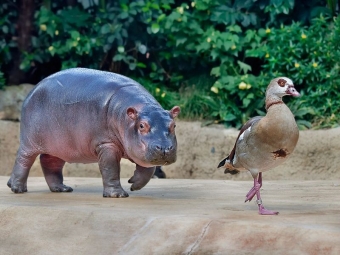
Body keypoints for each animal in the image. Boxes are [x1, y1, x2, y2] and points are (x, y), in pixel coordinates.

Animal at [7, 67, 181, 197]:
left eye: (173, 125)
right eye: (142, 126)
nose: (164, 148)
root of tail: (32, 90)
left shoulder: (142, 152)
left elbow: (148, 169)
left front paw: (134, 185)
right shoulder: (106, 144)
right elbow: (110, 168)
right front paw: (117, 194)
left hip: (60, 145)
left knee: (50, 162)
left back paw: (62, 189)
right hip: (29, 141)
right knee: (23, 160)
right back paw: (17, 188)